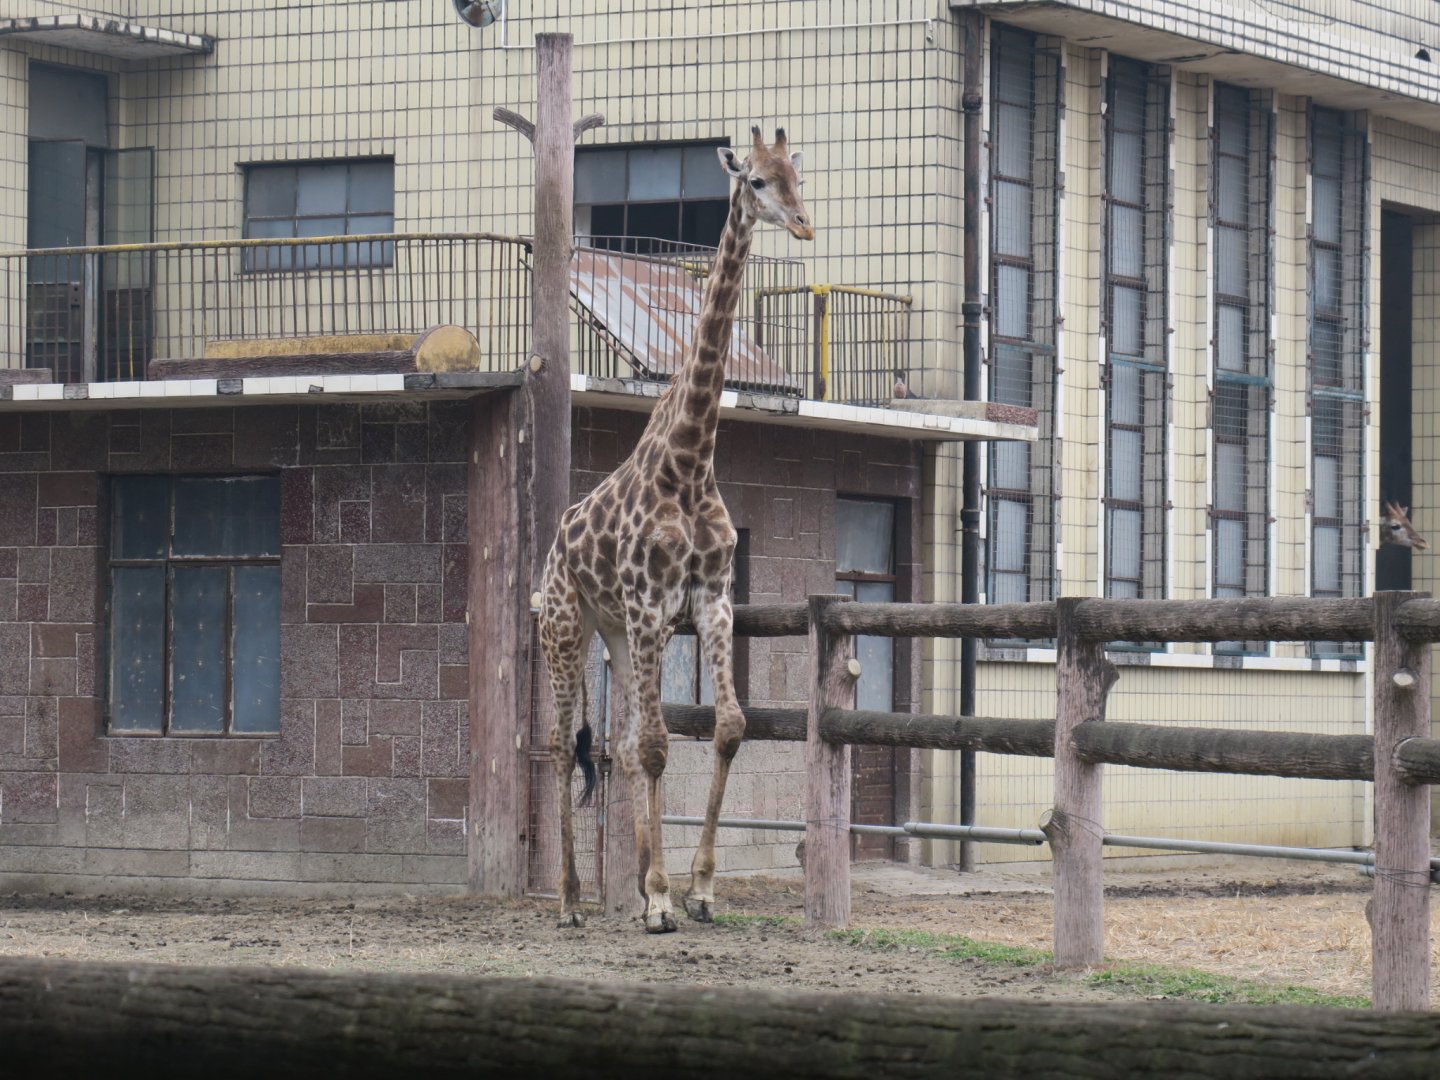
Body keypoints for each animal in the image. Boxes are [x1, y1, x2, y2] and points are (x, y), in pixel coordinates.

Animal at [538, 127, 813, 933]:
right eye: (755, 181)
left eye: (797, 178)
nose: (804, 226)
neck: (690, 463)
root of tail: (552, 551)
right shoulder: (649, 602)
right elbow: (664, 744)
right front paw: (663, 899)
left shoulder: (711, 601)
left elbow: (725, 728)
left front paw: (696, 888)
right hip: (569, 626)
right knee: (562, 744)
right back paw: (570, 899)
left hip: (615, 631)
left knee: (623, 744)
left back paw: (626, 886)